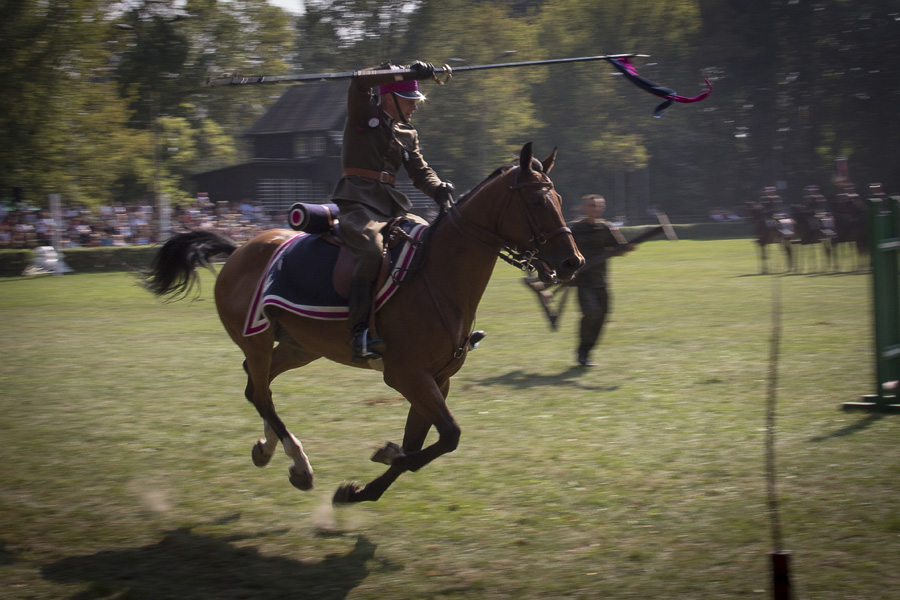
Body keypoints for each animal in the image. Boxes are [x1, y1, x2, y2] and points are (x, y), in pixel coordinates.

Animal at [142, 143, 584, 504]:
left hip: (299, 347)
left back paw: (269, 449)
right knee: (262, 393)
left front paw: (363, 488)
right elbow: (446, 437)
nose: (572, 262)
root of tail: (239, 248)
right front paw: (383, 458)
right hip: (258, 340)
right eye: (538, 201)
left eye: (560, 198)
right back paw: (299, 462)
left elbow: (422, 445)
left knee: (256, 386)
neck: (436, 277)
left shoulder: (436, 381)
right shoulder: (408, 376)